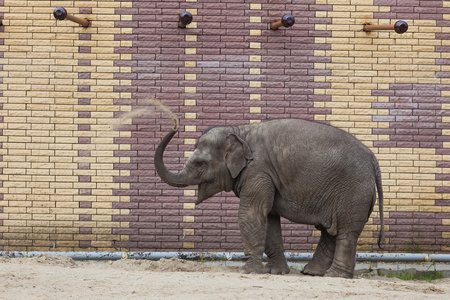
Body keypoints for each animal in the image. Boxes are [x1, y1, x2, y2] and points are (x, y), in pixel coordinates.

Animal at [154, 116, 384, 278]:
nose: (175, 125)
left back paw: (335, 276)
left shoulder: (257, 171)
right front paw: (276, 272)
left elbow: (253, 213)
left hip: (353, 192)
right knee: (330, 231)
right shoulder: (266, 176)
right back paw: (312, 272)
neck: (240, 130)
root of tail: (374, 160)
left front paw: (248, 272)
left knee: (345, 232)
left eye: (200, 163)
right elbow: (270, 218)